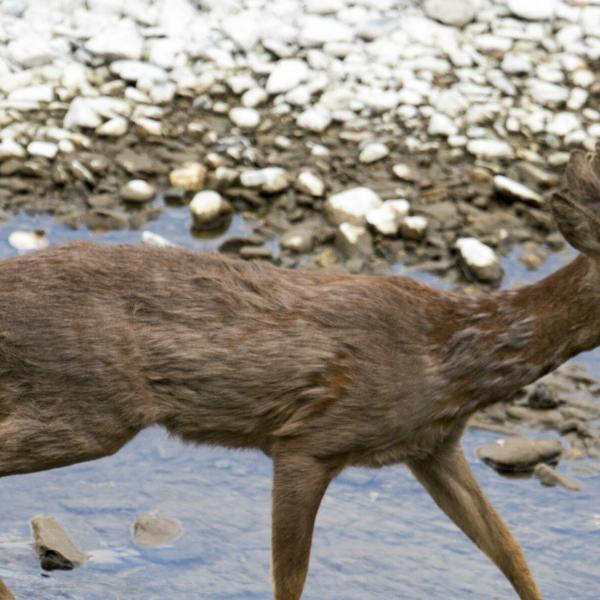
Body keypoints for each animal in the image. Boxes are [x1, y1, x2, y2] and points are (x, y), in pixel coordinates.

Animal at [0, 146, 596, 600]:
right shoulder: (309, 441)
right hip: (89, 404)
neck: (452, 359)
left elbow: (511, 552)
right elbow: (291, 582)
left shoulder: (434, 446)